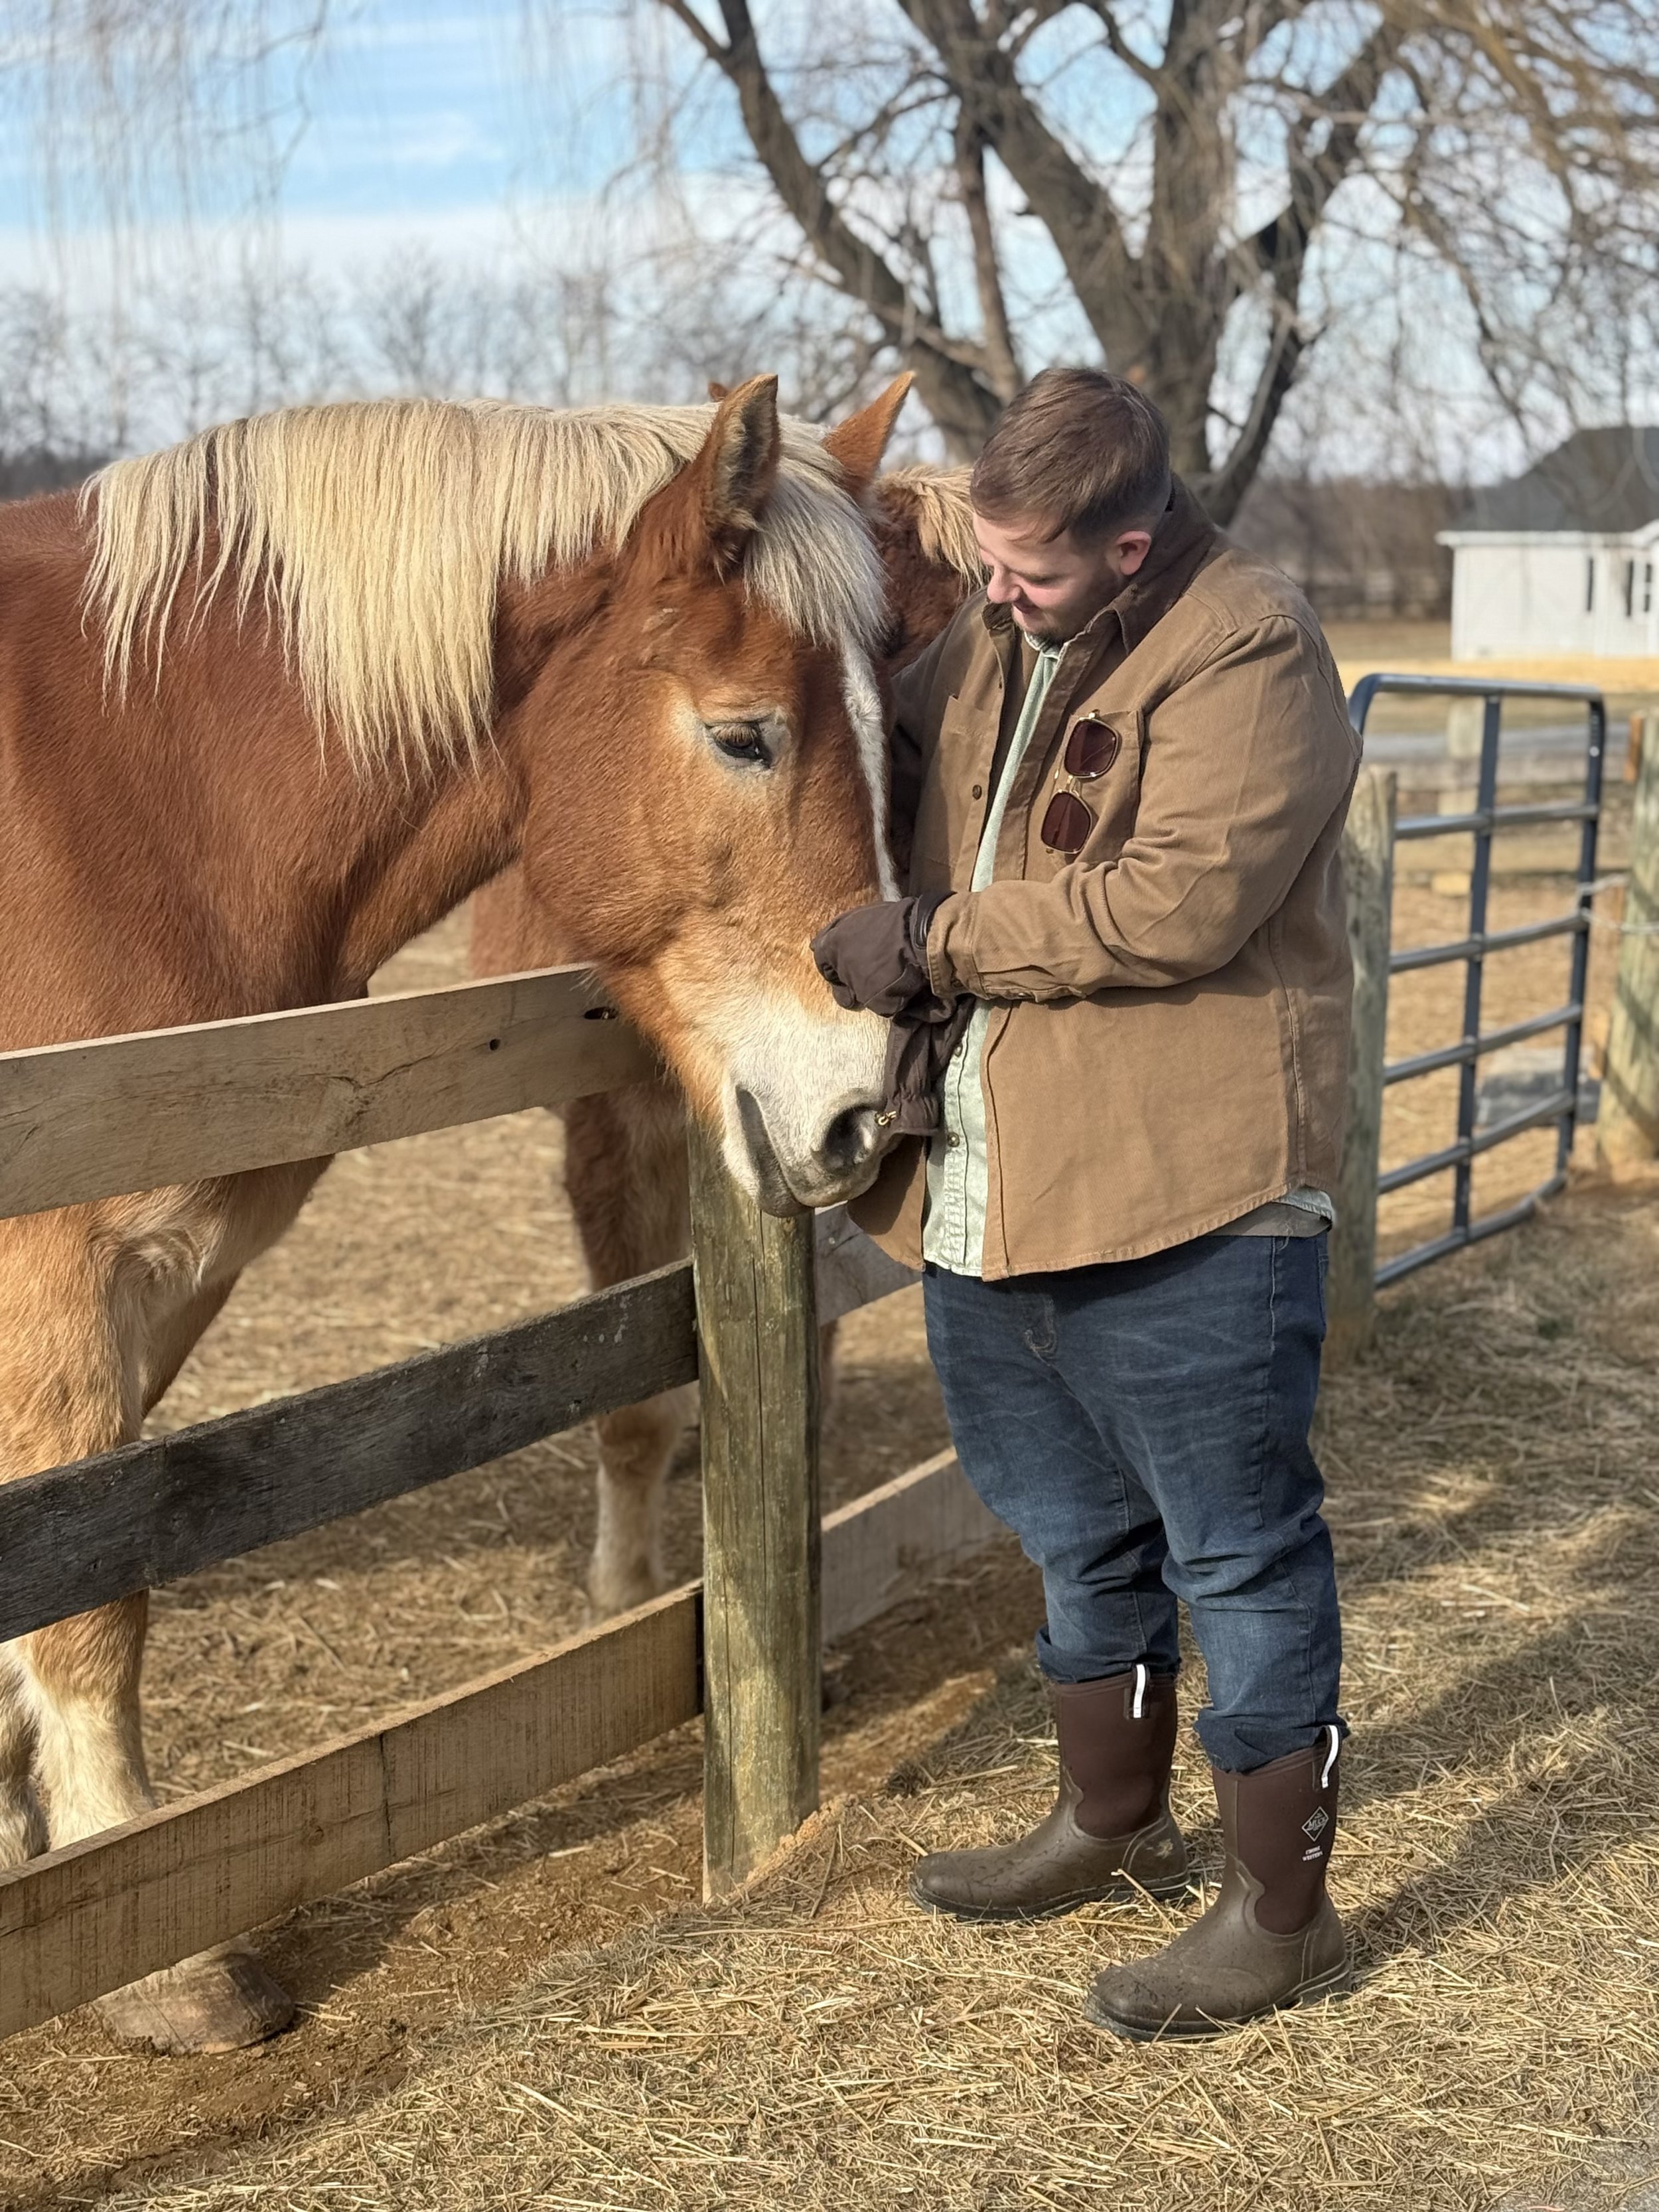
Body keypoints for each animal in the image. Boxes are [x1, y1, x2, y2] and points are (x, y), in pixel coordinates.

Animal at [0, 372, 917, 2054]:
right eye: (744, 735)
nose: (864, 1113)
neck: (117, 798)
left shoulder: (158, 1281)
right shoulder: (62, 1272)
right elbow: (91, 1606)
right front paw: (158, 1963)